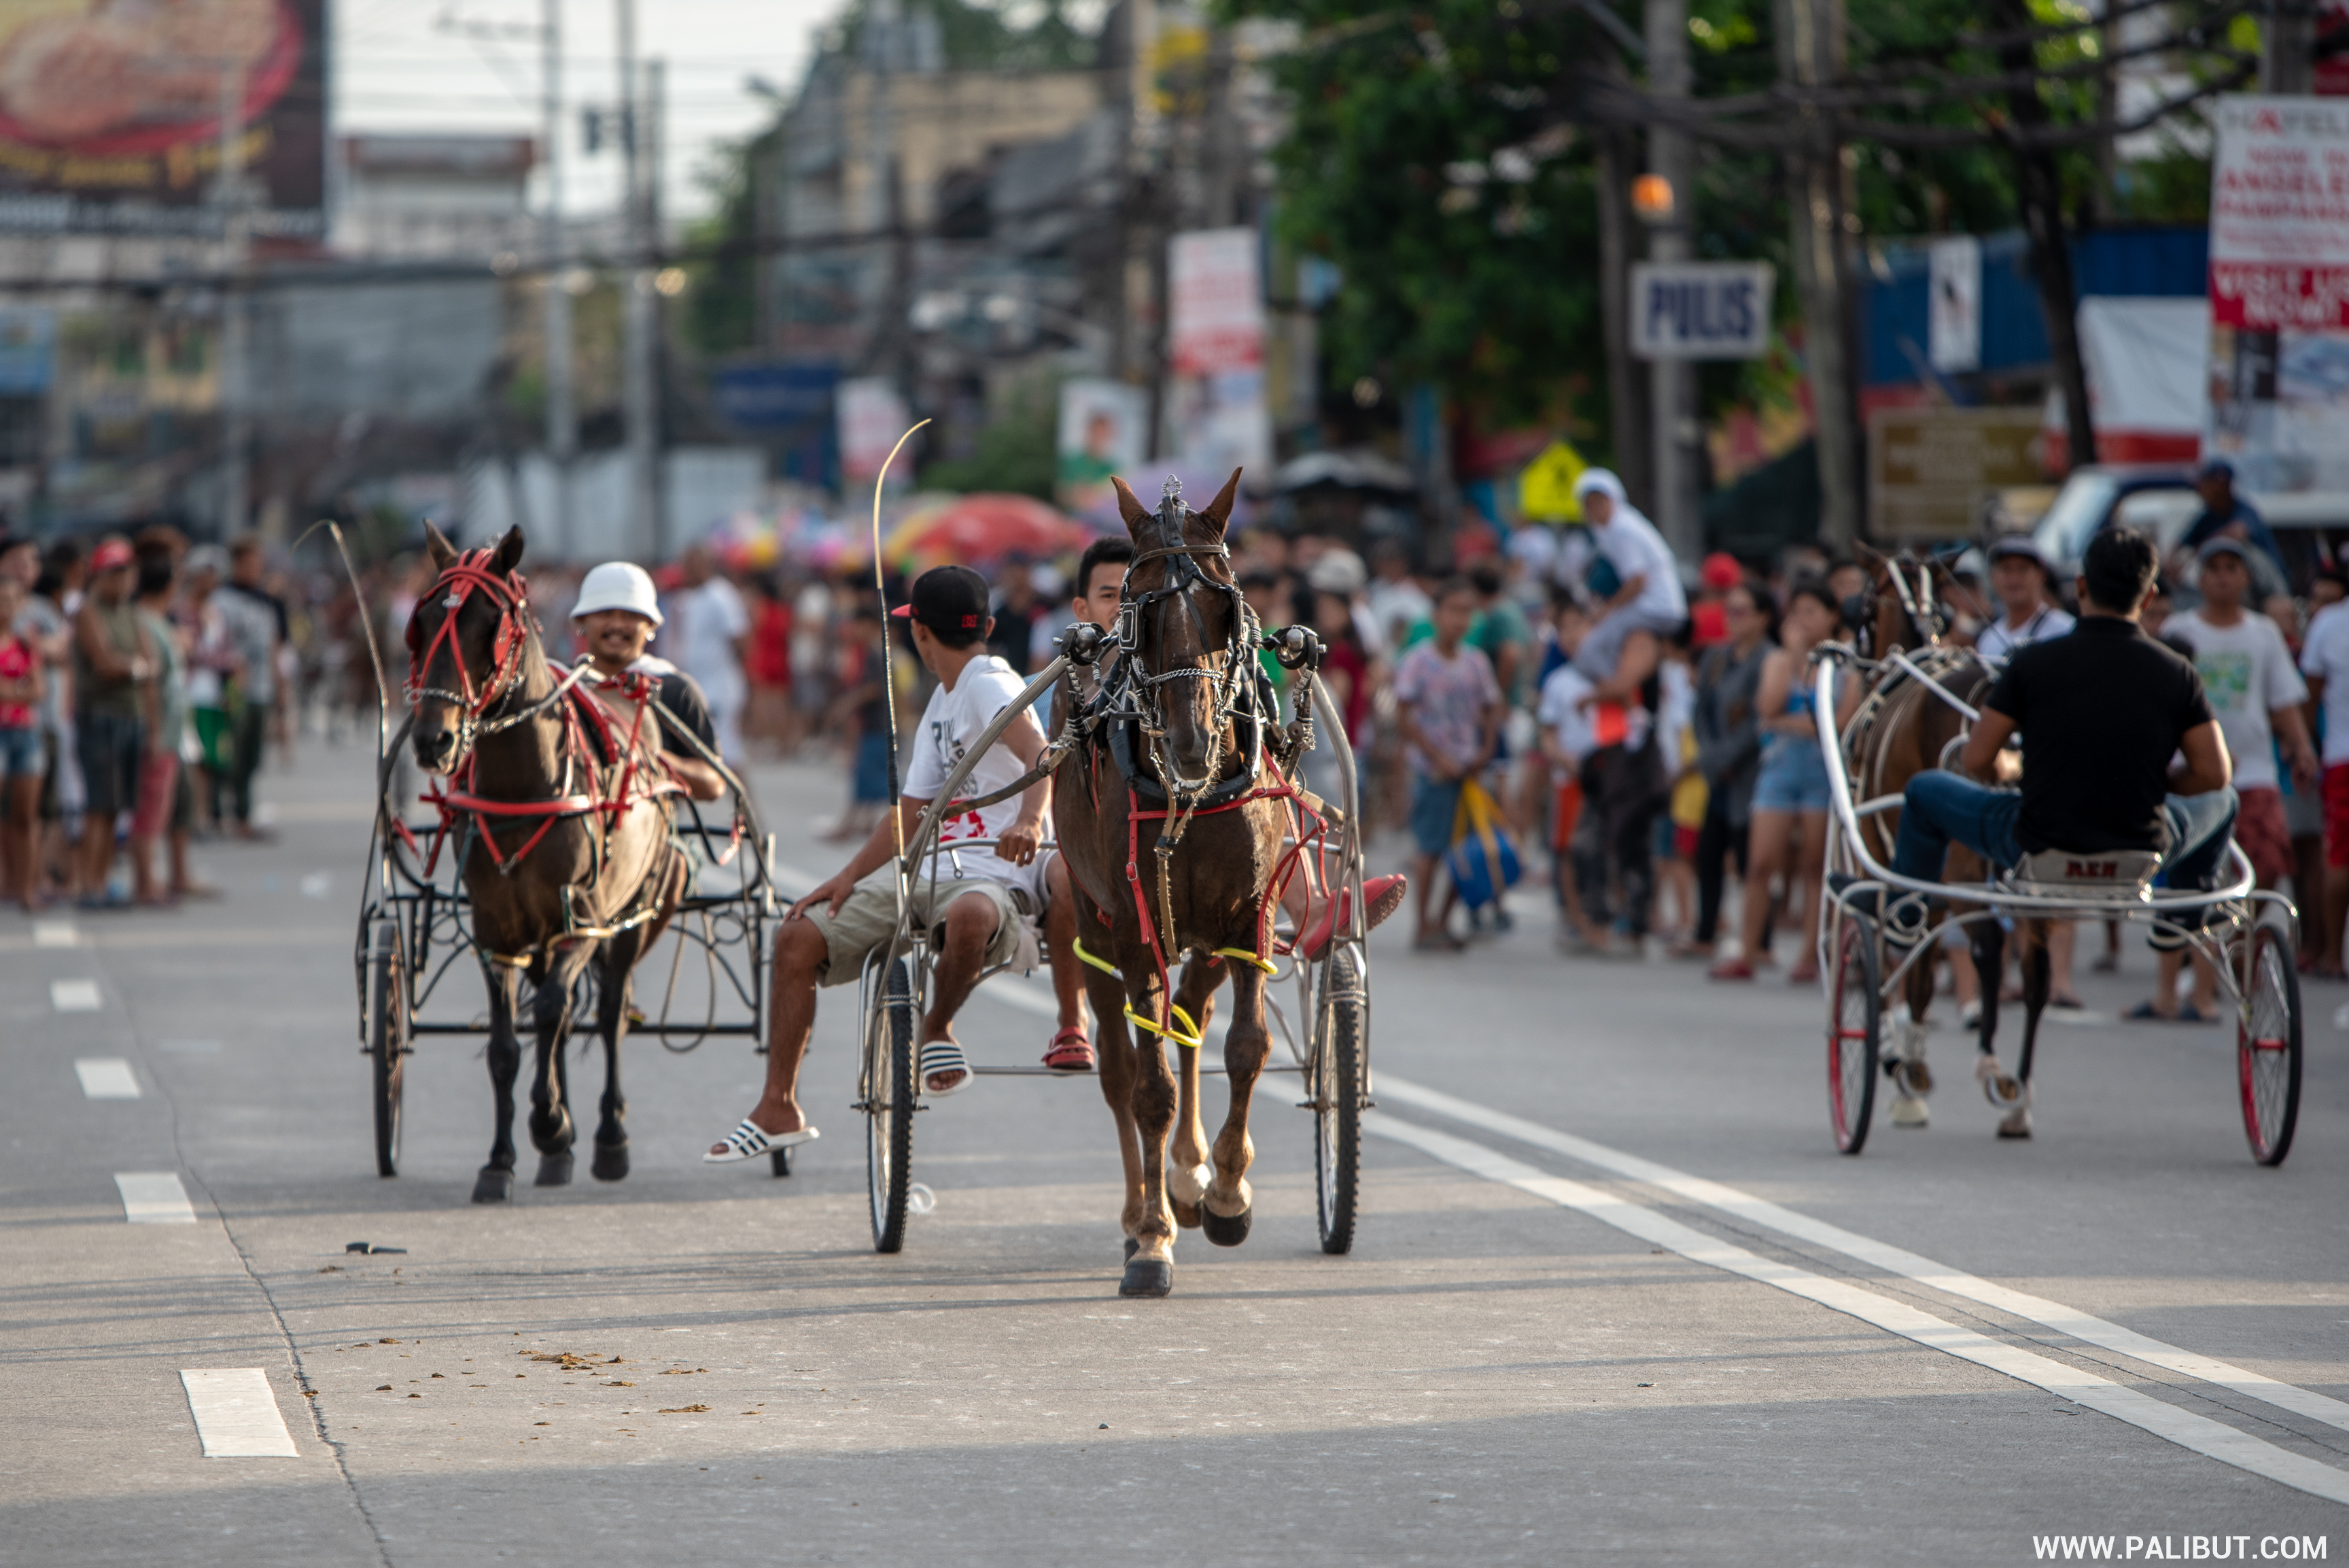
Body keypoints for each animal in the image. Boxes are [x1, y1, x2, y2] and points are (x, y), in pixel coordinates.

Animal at [404, 524, 689, 1201]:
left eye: (491, 624)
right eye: (421, 623)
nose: (433, 739)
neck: (523, 788)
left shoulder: (582, 920)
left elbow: (561, 1011)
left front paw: (551, 1122)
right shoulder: (496, 931)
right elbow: (508, 1044)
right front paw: (503, 1158)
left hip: (634, 914)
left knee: (607, 1015)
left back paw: (607, 1137)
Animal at [1052, 469, 1310, 1298]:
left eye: (1226, 601)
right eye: (1139, 605)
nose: (1194, 741)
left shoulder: (1248, 913)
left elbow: (1246, 1047)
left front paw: (1224, 1190)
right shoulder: (1135, 928)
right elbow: (1149, 1087)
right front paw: (1154, 1239)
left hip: (1201, 933)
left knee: (1193, 1015)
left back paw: (1190, 1177)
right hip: (1097, 922)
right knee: (1121, 1065)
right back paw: (1144, 1209)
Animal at [1841, 545, 2042, 1137]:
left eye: (1863, 605)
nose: (1861, 655)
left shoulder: (1886, 860)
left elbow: (1908, 962)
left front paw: (1904, 1065)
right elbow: (1921, 968)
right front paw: (1909, 1064)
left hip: (1961, 858)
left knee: (1989, 945)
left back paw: (1993, 1068)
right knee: (2037, 968)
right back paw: (2018, 1096)